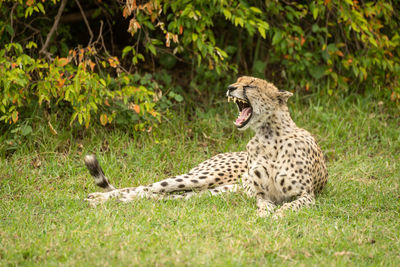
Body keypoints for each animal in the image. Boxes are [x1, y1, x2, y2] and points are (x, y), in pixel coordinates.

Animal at [85, 76, 328, 218]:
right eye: (238, 80)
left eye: (249, 85)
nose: (230, 87)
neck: (269, 134)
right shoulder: (259, 192)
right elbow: (263, 203)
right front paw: (265, 212)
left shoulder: (307, 195)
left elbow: (291, 206)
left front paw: (278, 214)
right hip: (203, 177)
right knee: (147, 188)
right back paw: (96, 198)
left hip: (212, 191)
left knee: (160, 196)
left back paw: (110, 201)